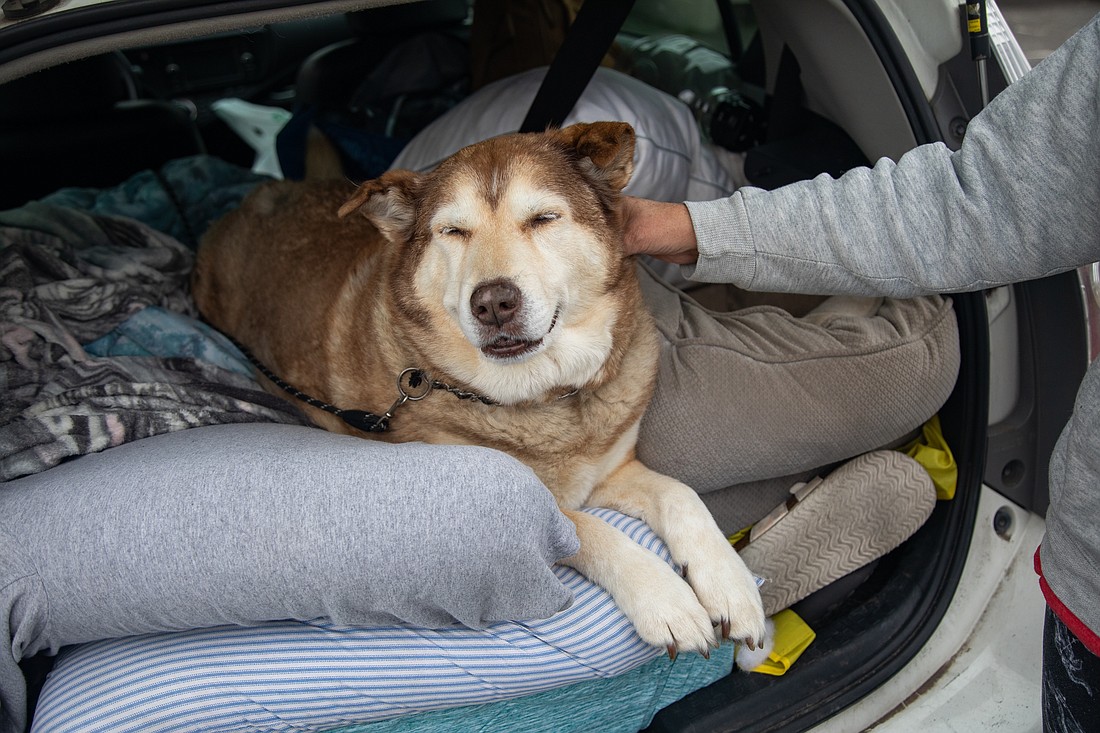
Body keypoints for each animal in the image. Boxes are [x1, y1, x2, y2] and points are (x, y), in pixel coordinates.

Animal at [191, 122, 765, 651]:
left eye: (543, 218)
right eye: (452, 231)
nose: (493, 303)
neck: (539, 396)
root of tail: (259, 196)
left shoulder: (611, 471)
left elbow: (681, 494)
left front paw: (731, 585)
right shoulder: (530, 507)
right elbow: (593, 531)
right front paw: (667, 600)